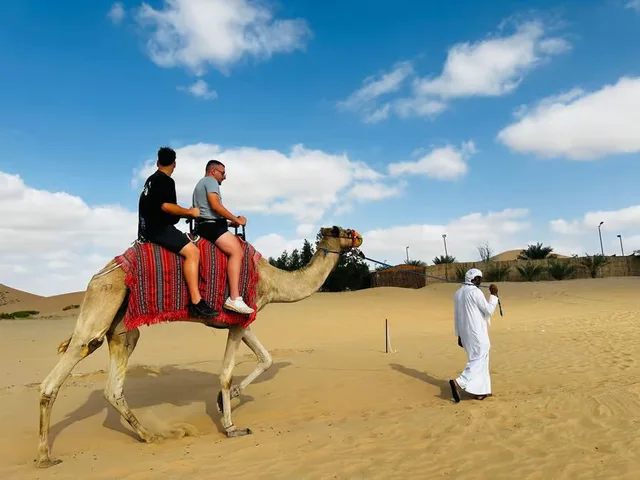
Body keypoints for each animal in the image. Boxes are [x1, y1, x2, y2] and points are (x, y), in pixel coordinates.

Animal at [35, 226, 363, 468]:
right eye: (345, 230)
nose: (360, 238)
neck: (271, 281)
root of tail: (99, 273)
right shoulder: (237, 319)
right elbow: (227, 373)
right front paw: (231, 427)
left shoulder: (242, 319)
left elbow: (266, 358)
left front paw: (224, 400)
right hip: (103, 299)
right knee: (70, 360)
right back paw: (44, 456)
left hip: (122, 325)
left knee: (114, 384)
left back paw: (151, 437)